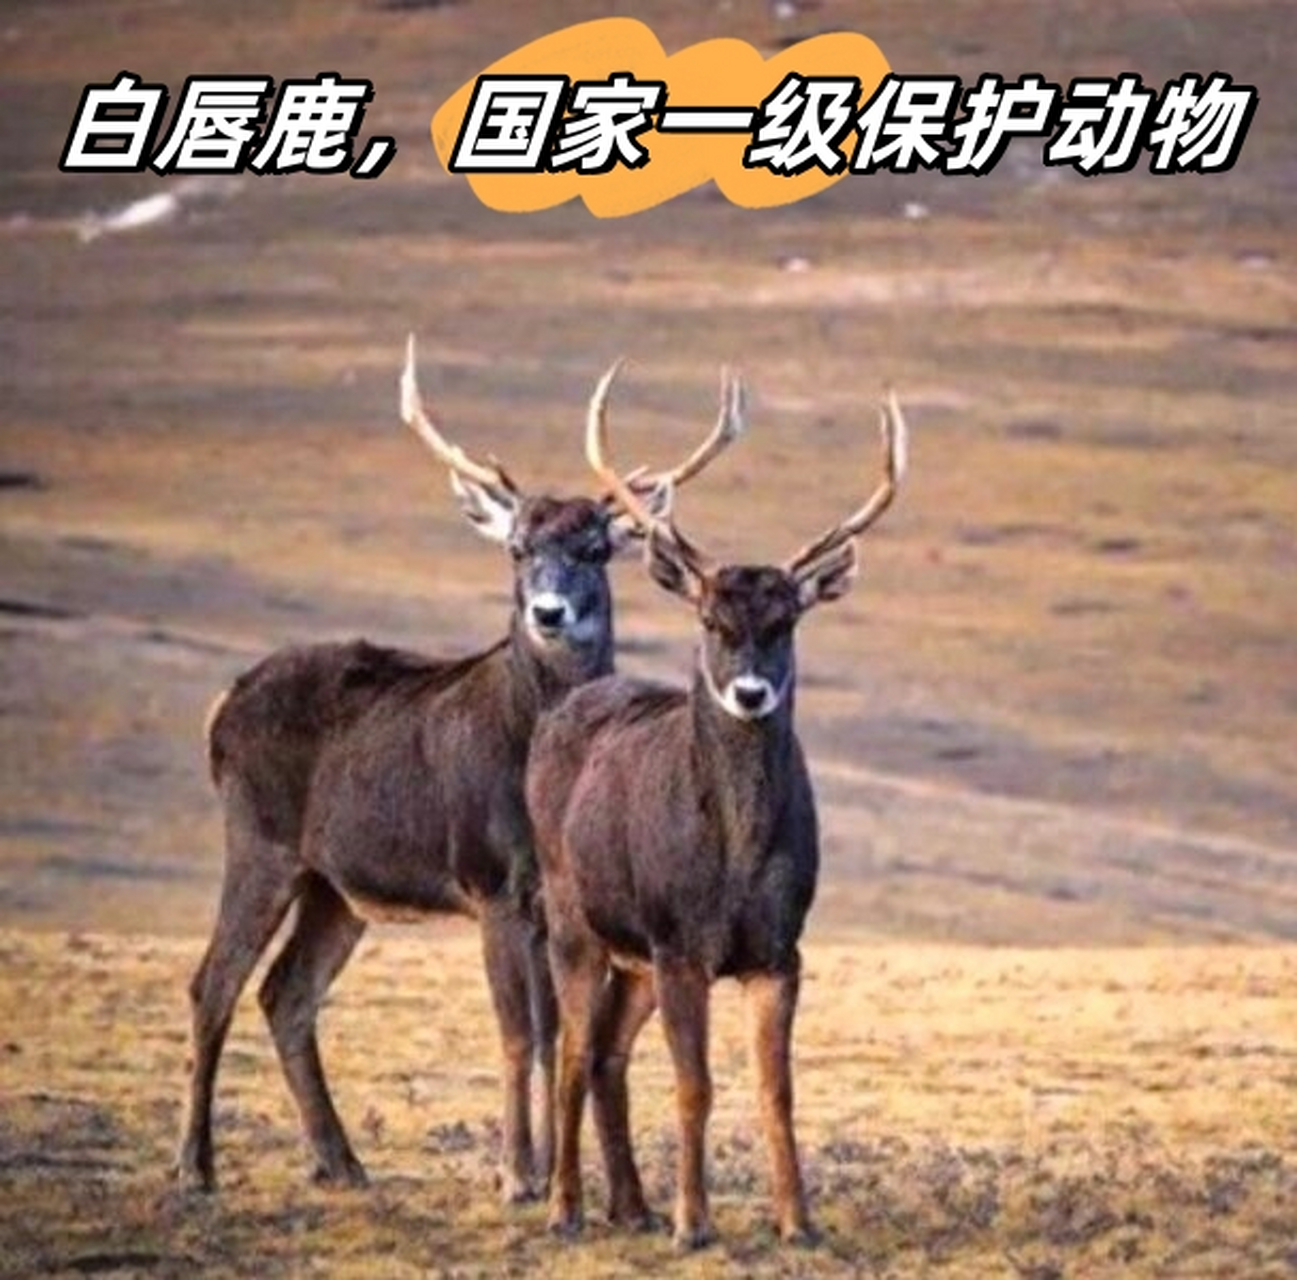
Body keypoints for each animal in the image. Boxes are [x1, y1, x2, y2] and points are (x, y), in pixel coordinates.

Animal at [175, 336, 745, 1203]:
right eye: (517, 549)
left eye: (592, 548)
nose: (549, 612)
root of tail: (220, 707)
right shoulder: (491, 882)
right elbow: (519, 1034)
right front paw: (518, 1175)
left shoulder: (551, 898)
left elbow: (558, 1034)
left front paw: (553, 1174)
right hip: (260, 840)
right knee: (214, 982)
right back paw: (194, 1166)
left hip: (335, 884)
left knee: (285, 993)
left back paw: (340, 1161)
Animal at [525, 365, 906, 1249]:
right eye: (709, 617)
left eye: (787, 618)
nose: (750, 692)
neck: (731, 860)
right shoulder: (679, 942)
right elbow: (694, 1084)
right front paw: (694, 1224)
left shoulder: (779, 950)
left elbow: (777, 1091)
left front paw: (798, 1222)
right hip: (572, 914)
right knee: (569, 1051)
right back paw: (564, 1206)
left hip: (633, 952)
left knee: (605, 1052)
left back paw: (630, 1205)